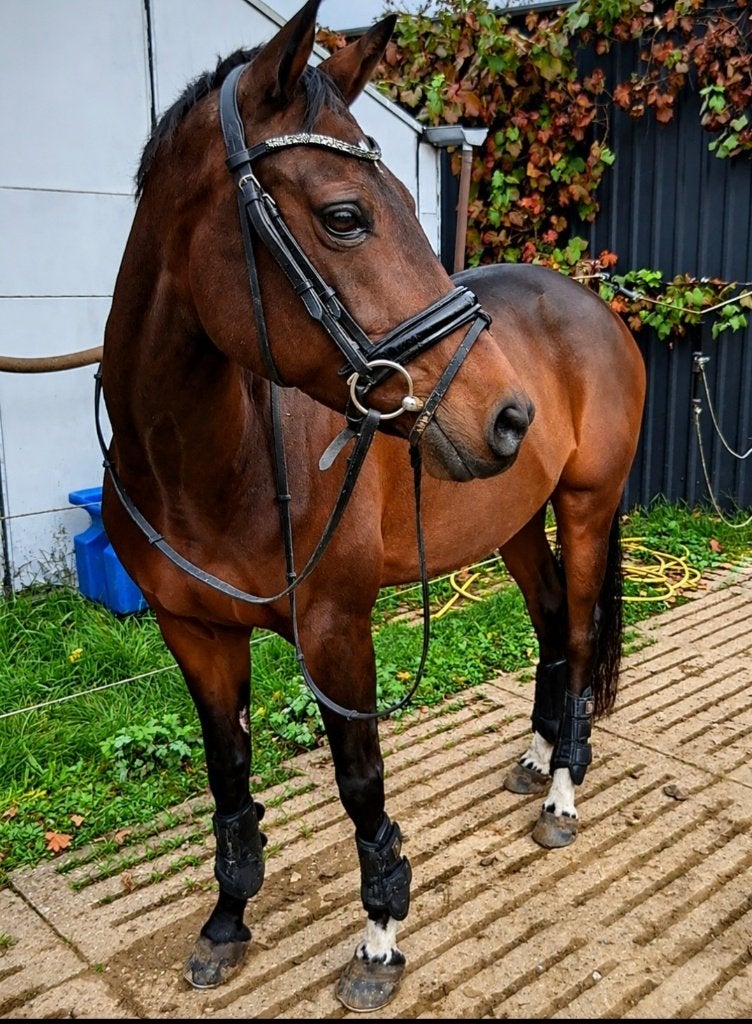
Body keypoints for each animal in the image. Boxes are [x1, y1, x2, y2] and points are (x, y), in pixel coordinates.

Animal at [99, 0, 646, 1012]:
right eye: (345, 216)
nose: (511, 416)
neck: (210, 464)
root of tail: (591, 305)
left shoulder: (334, 629)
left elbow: (361, 781)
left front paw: (380, 940)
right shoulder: (193, 632)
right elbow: (227, 777)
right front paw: (226, 921)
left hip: (587, 508)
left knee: (585, 631)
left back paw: (563, 788)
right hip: (515, 524)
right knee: (555, 623)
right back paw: (535, 757)